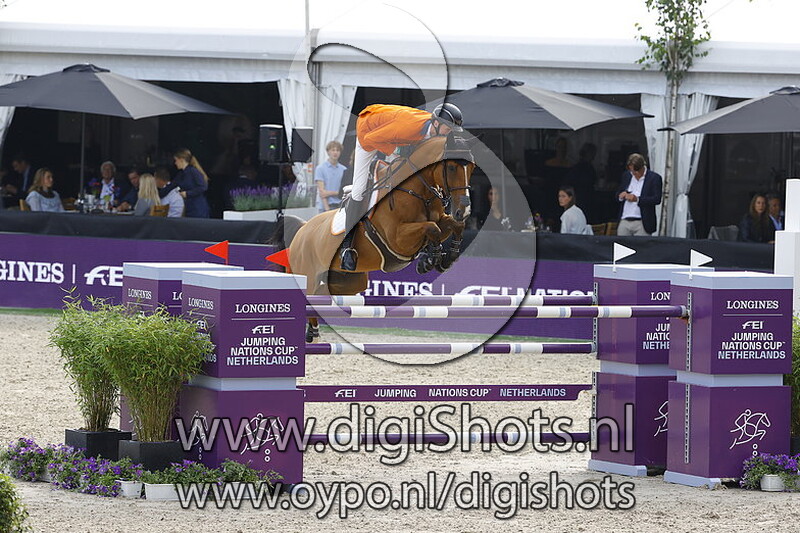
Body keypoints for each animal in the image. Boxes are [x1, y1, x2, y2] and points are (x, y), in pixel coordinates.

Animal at [271, 134, 476, 341]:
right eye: (452, 167)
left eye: (472, 167)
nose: (464, 210)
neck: (417, 191)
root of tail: (302, 230)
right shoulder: (397, 238)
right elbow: (432, 228)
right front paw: (430, 259)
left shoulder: (440, 220)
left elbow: (453, 226)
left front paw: (445, 258)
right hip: (308, 273)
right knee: (309, 295)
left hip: (348, 281)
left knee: (320, 297)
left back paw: (313, 330)